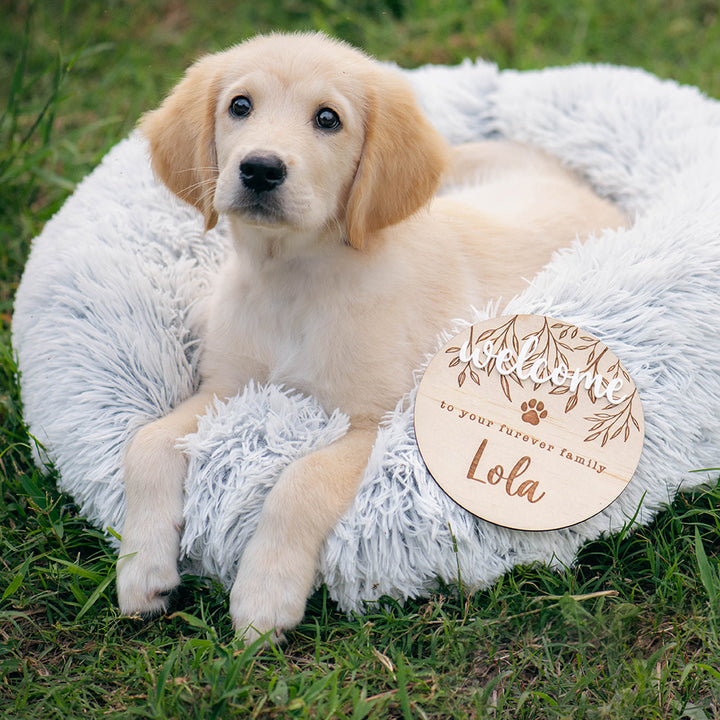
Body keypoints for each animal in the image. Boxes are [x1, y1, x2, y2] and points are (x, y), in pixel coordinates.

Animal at [116, 32, 624, 640]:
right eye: (240, 106)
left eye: (328, 119)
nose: (260, 169)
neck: (295, 282)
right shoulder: (226, 389)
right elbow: (146, 443)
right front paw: (141, 567)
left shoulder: (378, 419)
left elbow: (301, 481)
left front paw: (264, 595)